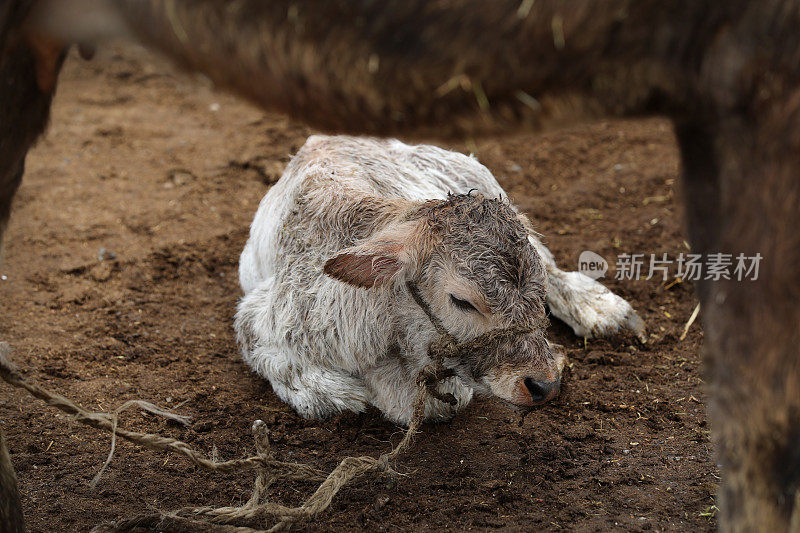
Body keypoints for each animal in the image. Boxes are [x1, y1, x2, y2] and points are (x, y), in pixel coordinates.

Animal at [233, 135, 644, 422]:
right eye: (461, 301)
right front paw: (327, 391)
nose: (545, 384)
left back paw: (600, 308)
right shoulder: (262, 311)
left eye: (537, 297)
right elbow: (264, 350)